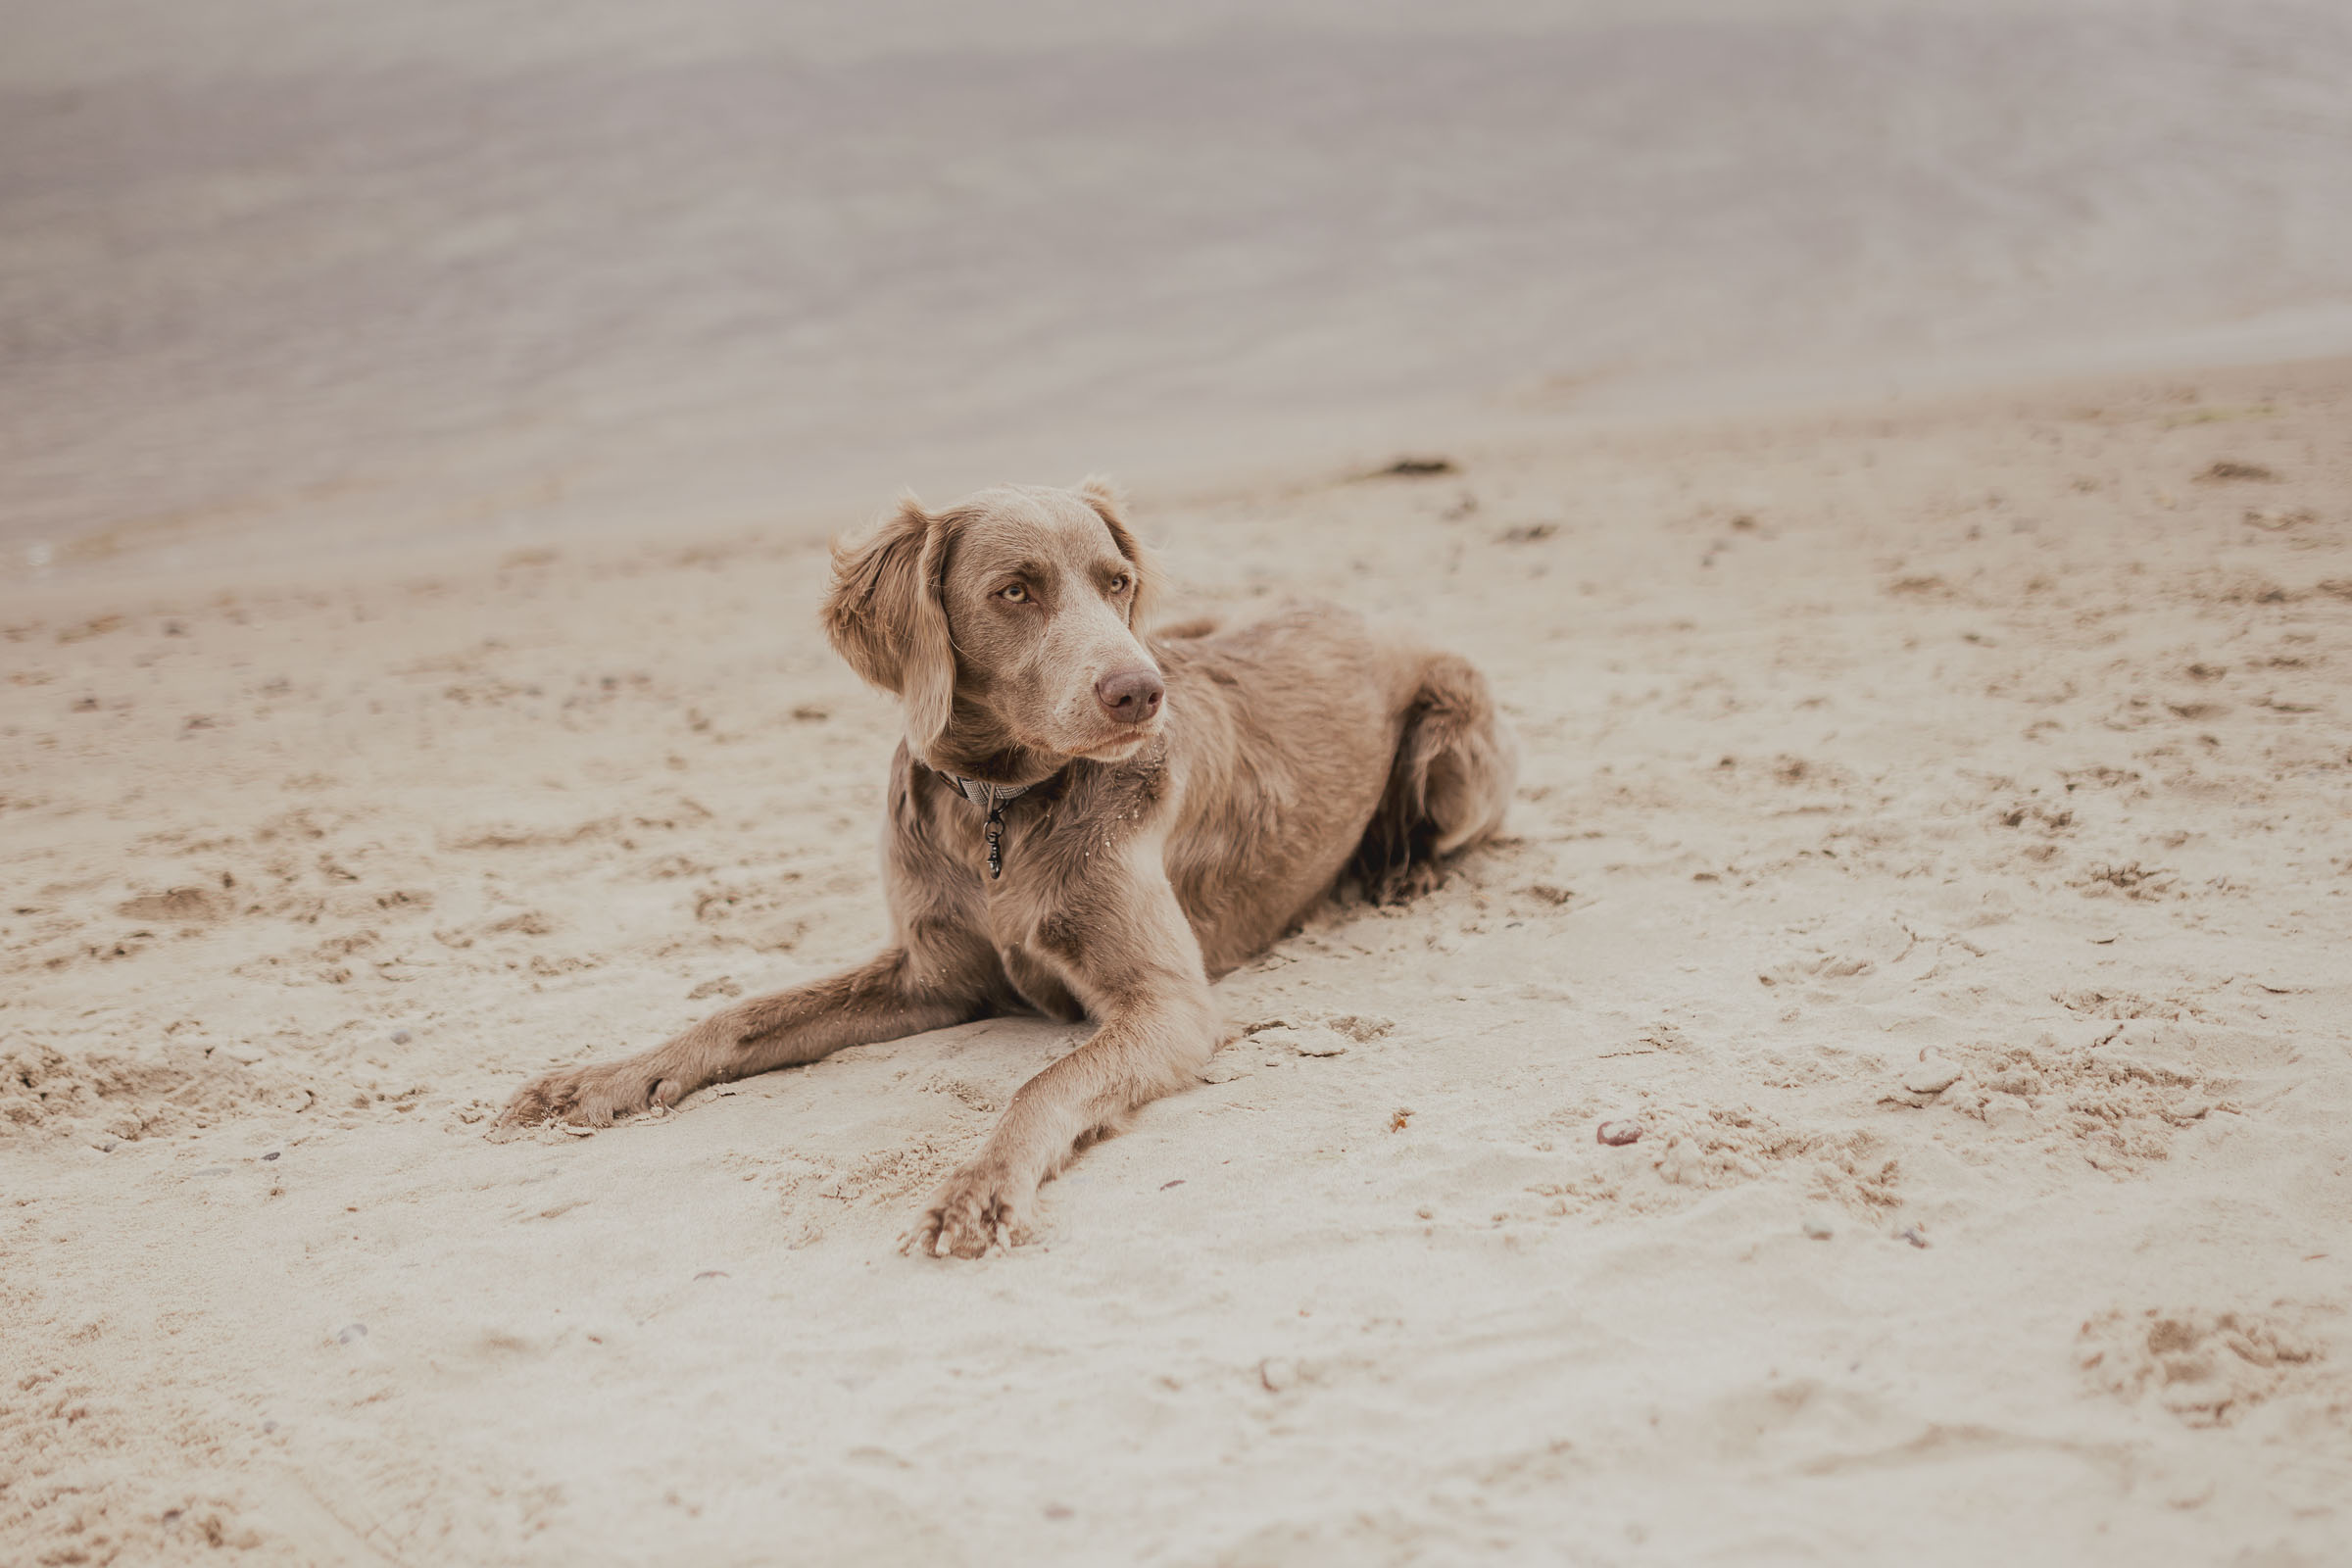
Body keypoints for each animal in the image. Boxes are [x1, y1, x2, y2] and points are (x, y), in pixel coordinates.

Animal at [503, 484, 1514, 1259]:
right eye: (1015, 591)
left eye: (1115, 582)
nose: (1140, 693)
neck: (999, 811)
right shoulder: (934, 972)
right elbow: (742, 1014)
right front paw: (604, 1079)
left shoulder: (1169, 1004)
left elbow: (1045, 1084)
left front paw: (979, 1188)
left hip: (1456, 739)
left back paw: (1399, 868)